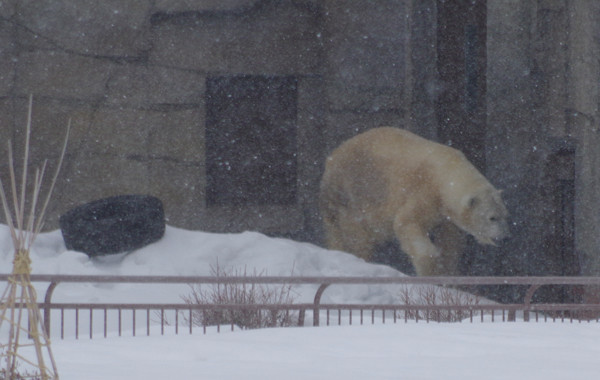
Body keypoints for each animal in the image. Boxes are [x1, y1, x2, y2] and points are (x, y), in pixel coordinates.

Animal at [316, 128, 508, 276]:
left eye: (505, 215)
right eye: (492, 217)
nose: (503, 237)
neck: (447, 173)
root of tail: (331, 159)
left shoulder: (447, 216)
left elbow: (450, 242)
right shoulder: (423, 191)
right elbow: (407, 222)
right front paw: (430, 268)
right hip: (352, 193)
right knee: (356, 235)